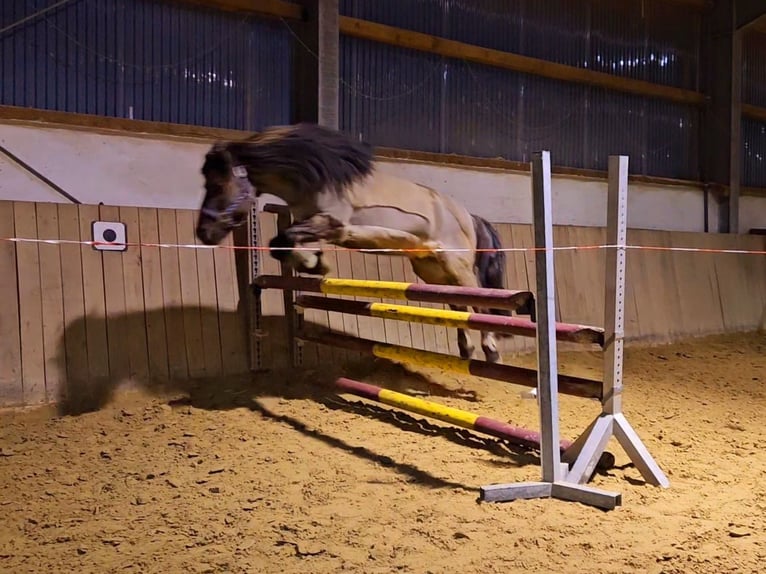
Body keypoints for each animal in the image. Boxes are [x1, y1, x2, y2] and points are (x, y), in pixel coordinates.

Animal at [195, 124, 512, 364]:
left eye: (217, 185)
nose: (204, 233)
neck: (315, 176)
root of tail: (468, 216)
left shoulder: (332, 223)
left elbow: (283, 241)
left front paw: (315, 264)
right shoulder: (314, 225)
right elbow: (281, 244)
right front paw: (314, 263)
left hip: (456, 265)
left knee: (480, 302)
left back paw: (491, 350)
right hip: (432, 270)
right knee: (460, 304)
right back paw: (466, 349)